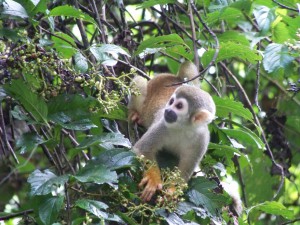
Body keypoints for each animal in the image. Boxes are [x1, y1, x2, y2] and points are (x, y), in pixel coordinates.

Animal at [127, 62, 214, 202]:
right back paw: (134, 113)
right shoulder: (163, 125)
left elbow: (185, 168)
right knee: (139, 82)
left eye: (179, 106)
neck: (185, 128)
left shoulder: (202, 140)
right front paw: (153, 180)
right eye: (171, 102)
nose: (167, 110)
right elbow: (143, 149)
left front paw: (173, 190)